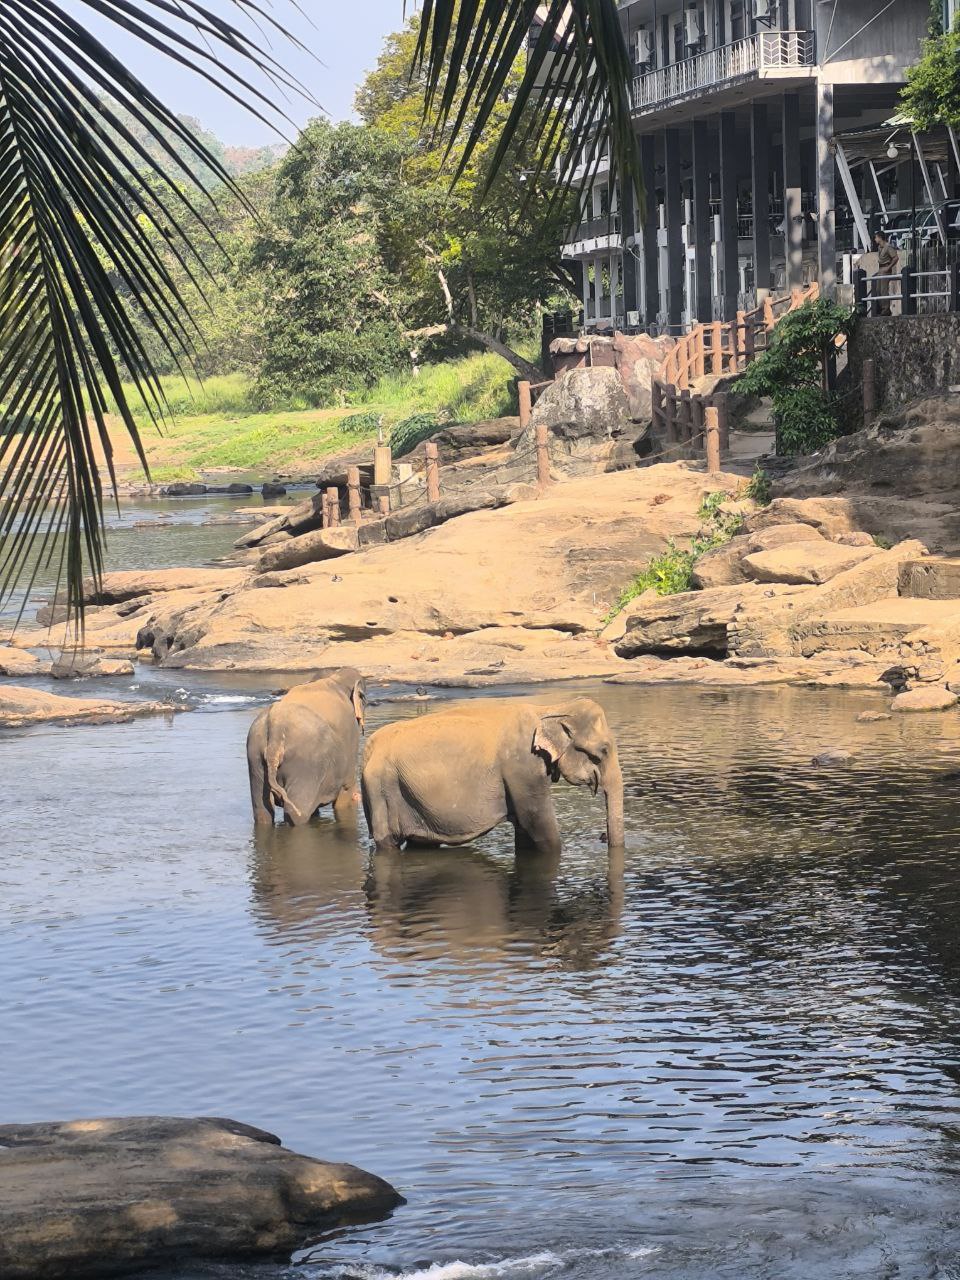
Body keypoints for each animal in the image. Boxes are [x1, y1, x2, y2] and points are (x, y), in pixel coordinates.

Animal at [246, 668, 366, 826]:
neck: (334, 678)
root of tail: (275, 726)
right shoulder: (350, 735)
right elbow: (346, 794)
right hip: (306, 765)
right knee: (298, 813)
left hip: (255, 757)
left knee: (262, 812)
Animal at [360, 696, 624, 855]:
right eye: (603, 750)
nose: (602, 836)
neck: (551, 708)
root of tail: (368, 749)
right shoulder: (522, 767)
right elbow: (537, 824)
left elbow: (524, 831)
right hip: (381, 790)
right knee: (388, 843)